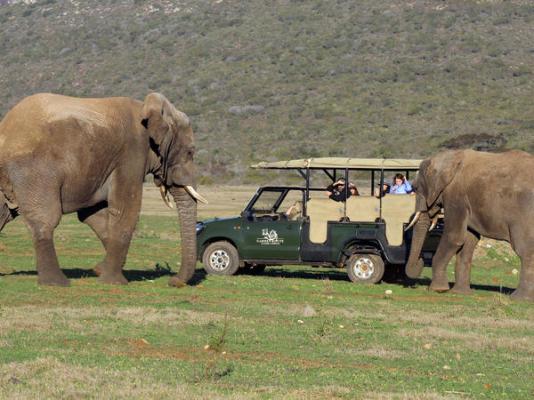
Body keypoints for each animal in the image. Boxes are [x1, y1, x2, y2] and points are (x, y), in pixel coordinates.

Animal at [0, 93, 207, 288]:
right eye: (190, 152)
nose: (173, 281)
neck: (149, 108)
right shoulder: (131, 153)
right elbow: (125, 210)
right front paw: (114, 281)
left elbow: (93, 214)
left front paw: (100, 270)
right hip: (34, 169)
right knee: (45, 219)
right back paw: (57, 283)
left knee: (4, 214)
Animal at [406, 149, 534, 300]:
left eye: (415, 188)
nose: (420, 261)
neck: (450, 157)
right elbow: (468, 240)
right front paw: (460, 293)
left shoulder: (456, 196)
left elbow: (454, 237)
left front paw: (437, 289)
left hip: (524, 215)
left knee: (524, 249)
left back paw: (519, 298)